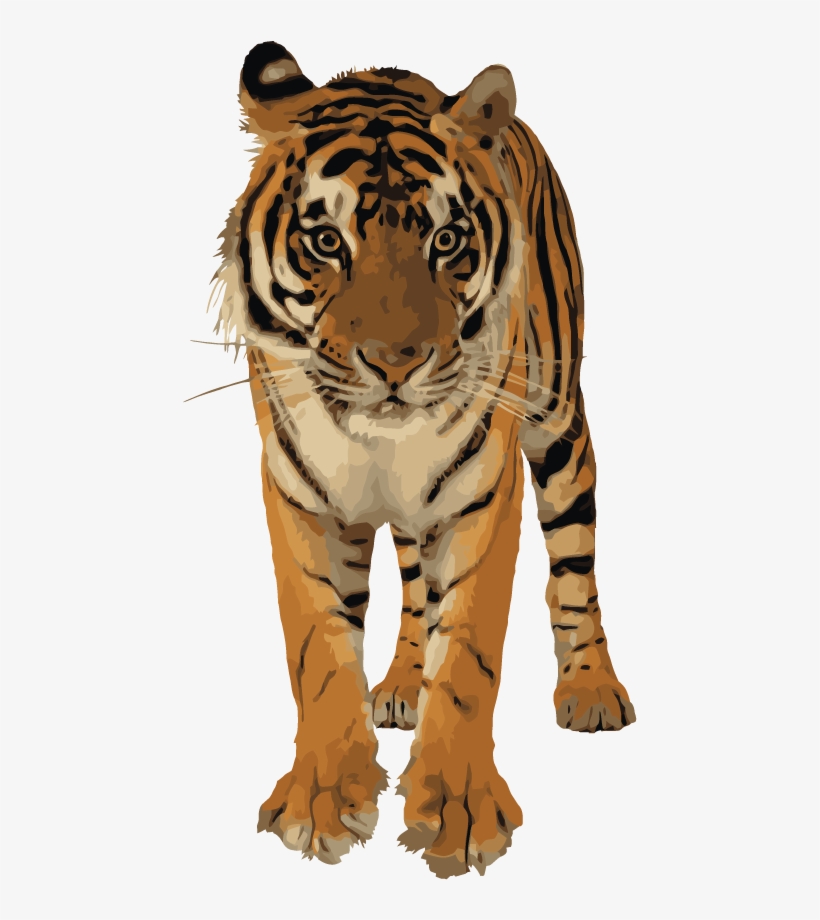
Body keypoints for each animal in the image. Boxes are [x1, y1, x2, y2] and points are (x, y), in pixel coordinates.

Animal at [209, 40, 636, 879]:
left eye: (446, 242)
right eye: (326, 242)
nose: (395, 362)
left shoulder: (485, 492)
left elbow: (469, 653)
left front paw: (462, 815)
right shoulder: (299, 495)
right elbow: (317, 649)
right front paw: (320, 803)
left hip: (558, 423)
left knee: (575, 564)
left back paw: (593, 691)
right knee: (412, 585)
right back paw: (404, 684)